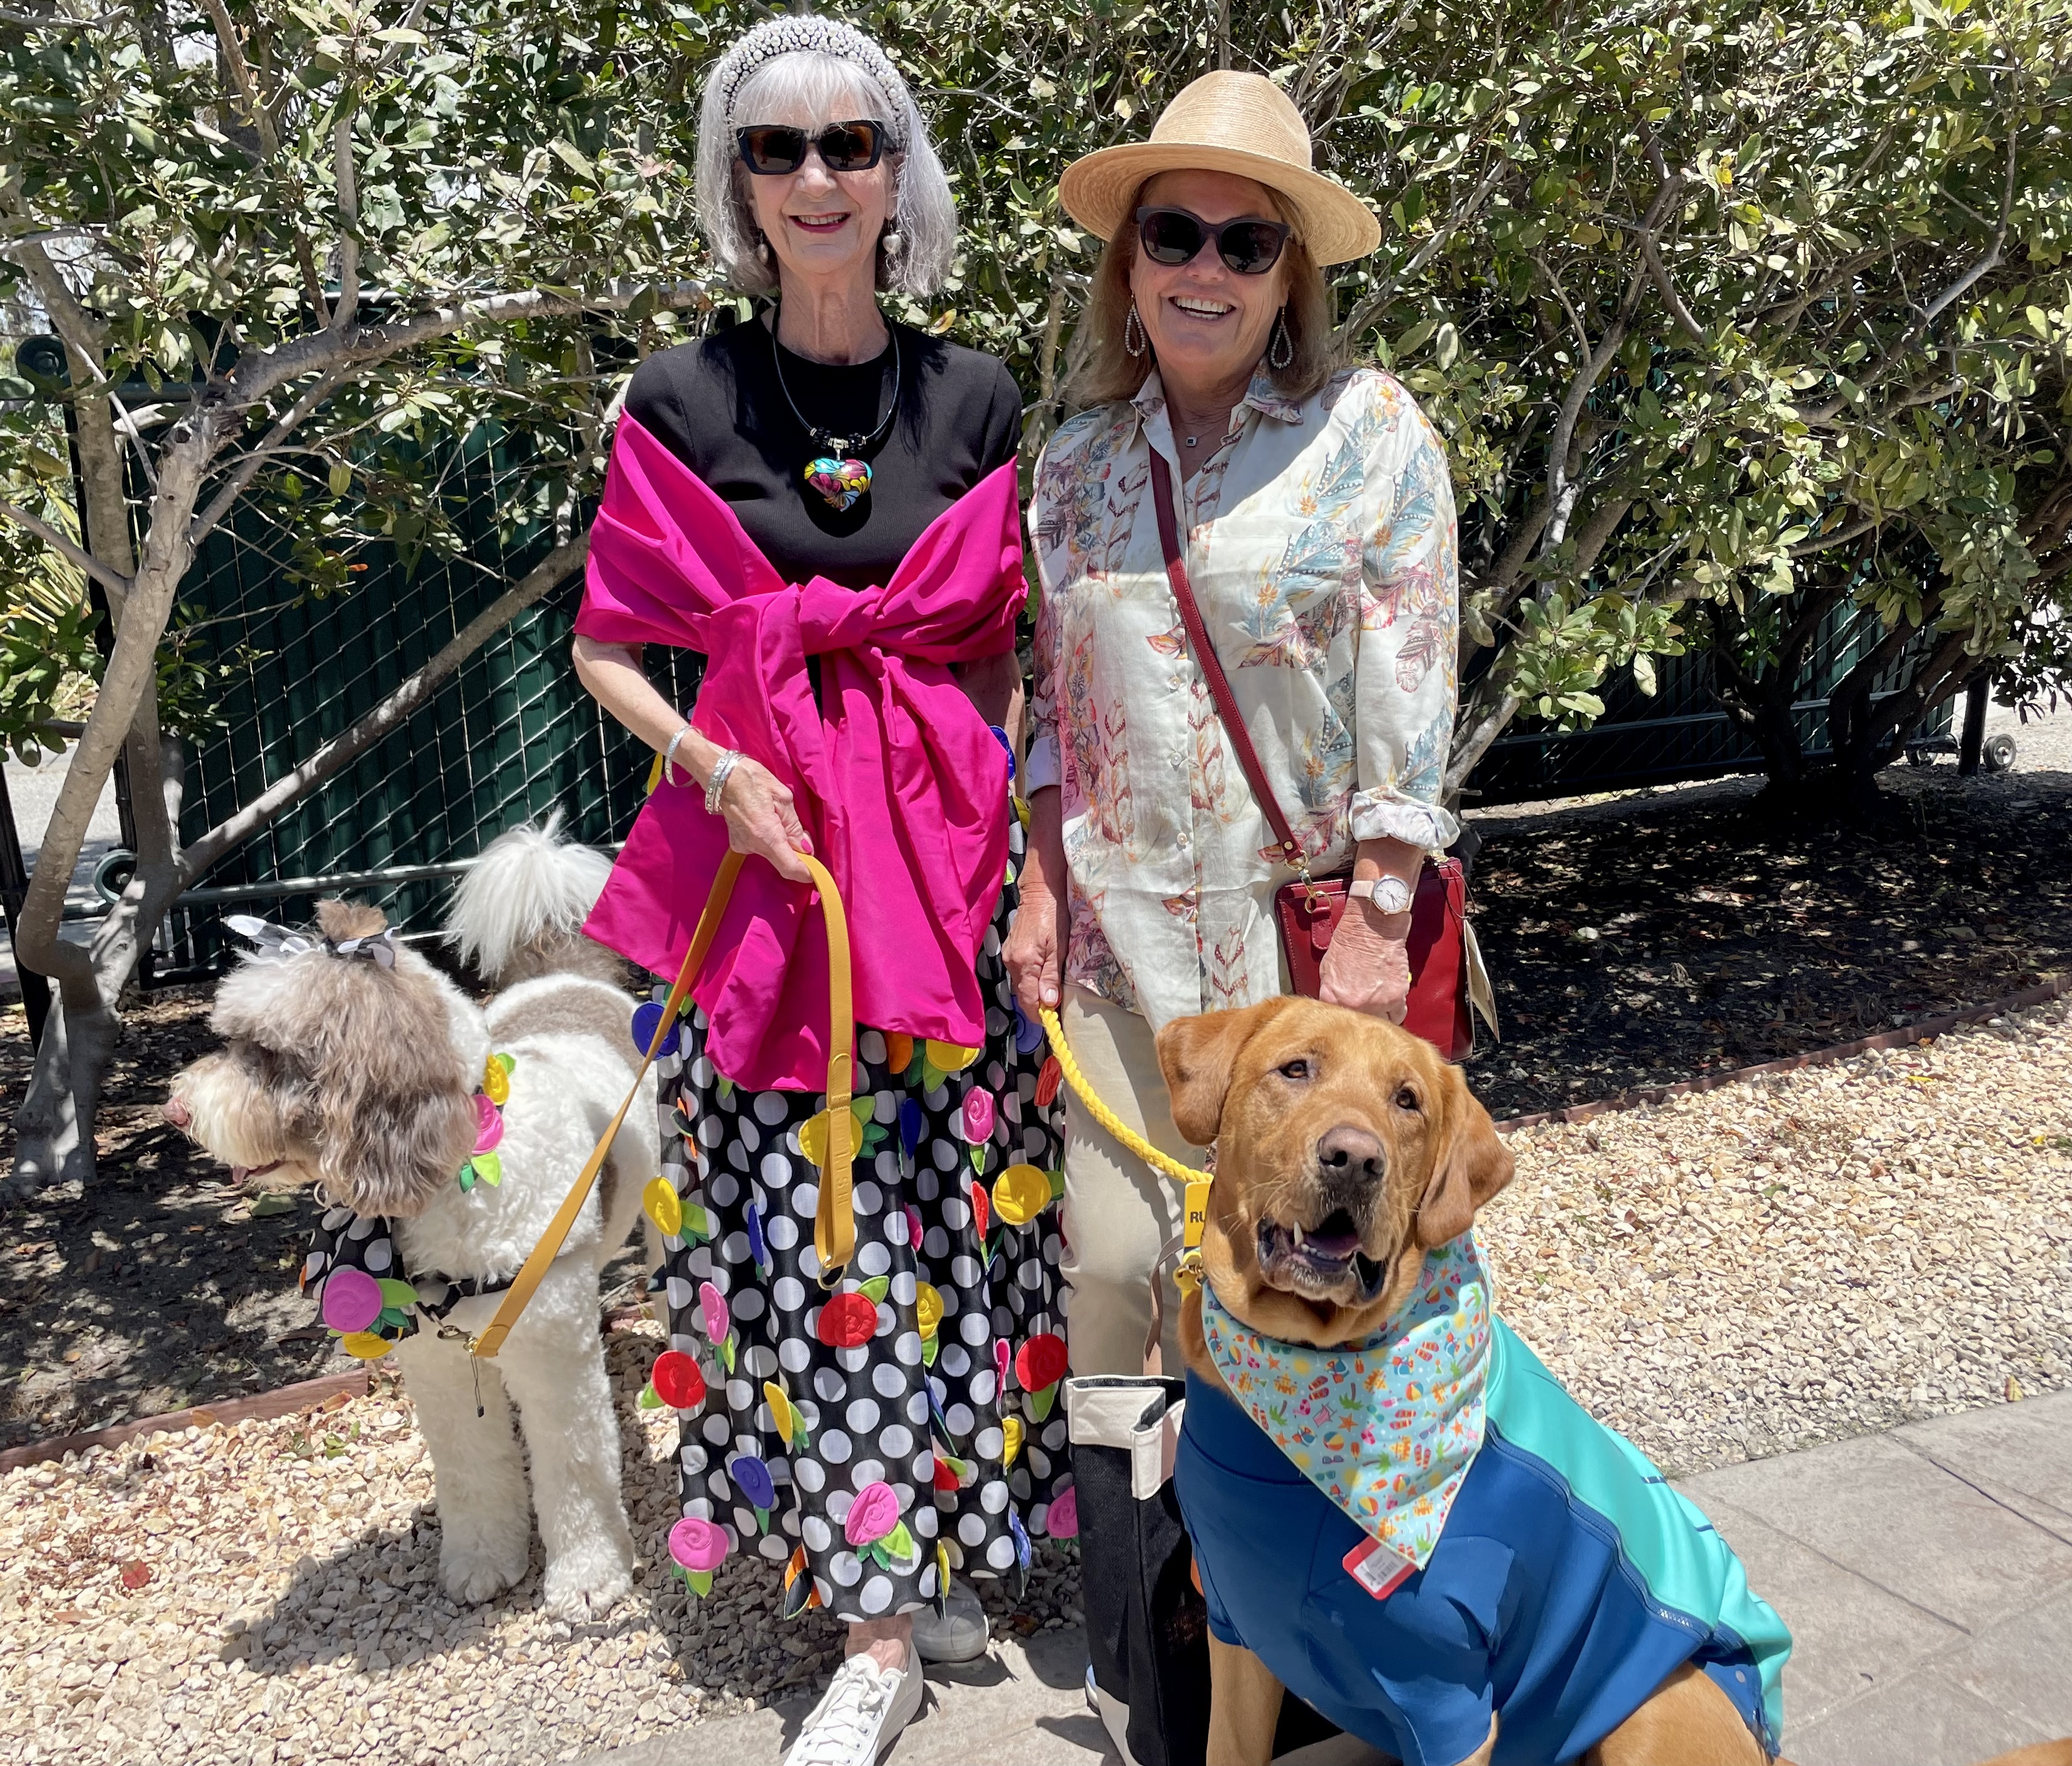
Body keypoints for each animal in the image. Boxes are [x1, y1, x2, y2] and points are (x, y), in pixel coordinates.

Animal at [164, 820, 658, 1620]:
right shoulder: (435, 1362)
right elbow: (468, 1467)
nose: (176, 1110)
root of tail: (573, 978)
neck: (454, 1175)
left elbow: (577, 1471)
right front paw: (483, 1561)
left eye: (265, 1053)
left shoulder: (553, 1356)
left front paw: (588, 1579)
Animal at [1153, 997, 2072, 1766]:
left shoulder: (1445, 1701)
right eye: (1294, 1069)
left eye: (1406, 1100)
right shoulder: (1236, 1637)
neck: (1302, 1386)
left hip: (1656, 1708)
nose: (1354, 1158)